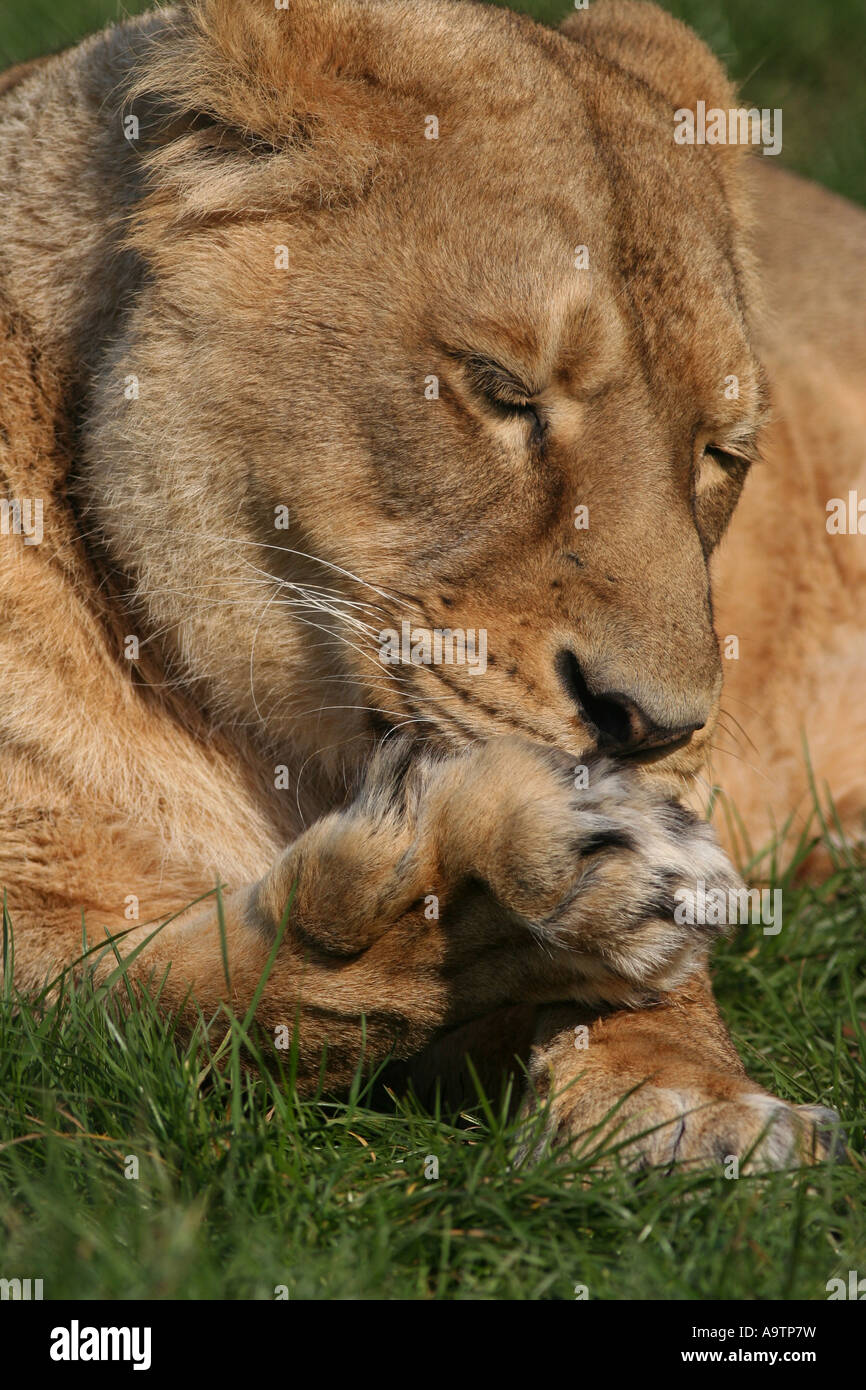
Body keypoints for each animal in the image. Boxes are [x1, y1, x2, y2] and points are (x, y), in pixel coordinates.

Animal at [0, 0, 861, 1173]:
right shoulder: (37, 923)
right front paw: (529, 882)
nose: (653, 729)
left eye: (718, 453)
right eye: (498, 391)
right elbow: (244, 988)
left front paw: (690, 1096)